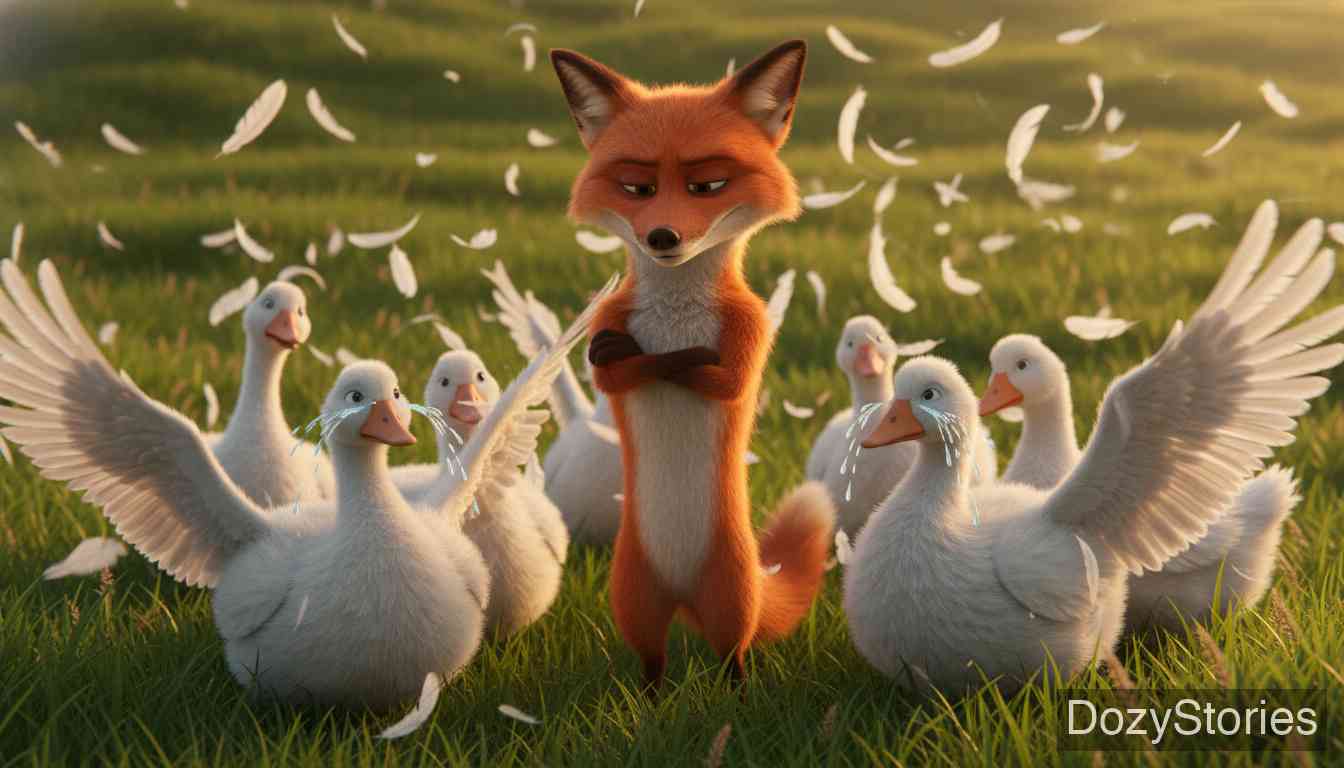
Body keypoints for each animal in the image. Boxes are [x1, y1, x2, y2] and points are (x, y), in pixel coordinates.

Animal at [549, 40, 836, 686]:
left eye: (709, 185)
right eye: (636, 188)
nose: (662, 236)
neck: (676, 315)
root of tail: (683, 599)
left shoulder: (749, 330)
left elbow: (712, 374)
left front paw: (671, 354)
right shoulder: (611, 317)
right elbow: (617, 370)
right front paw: (632, 354)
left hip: (731, 593)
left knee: (734, 654)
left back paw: (738, 695)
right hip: (632, 595)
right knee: (652, 664)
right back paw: (652, 701)